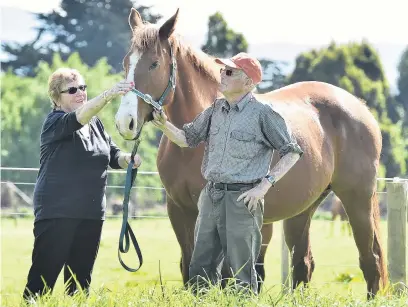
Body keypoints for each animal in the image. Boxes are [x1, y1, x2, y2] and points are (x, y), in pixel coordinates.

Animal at [113, 7, 388, 300]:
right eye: (126, 63)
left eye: (154, 63)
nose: (125, 122)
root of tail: (359, 106)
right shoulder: (178, 209)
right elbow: (190, 269)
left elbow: (226, 275)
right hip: (304, 207)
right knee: (303, 263)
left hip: (357, 198)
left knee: (370, 258)